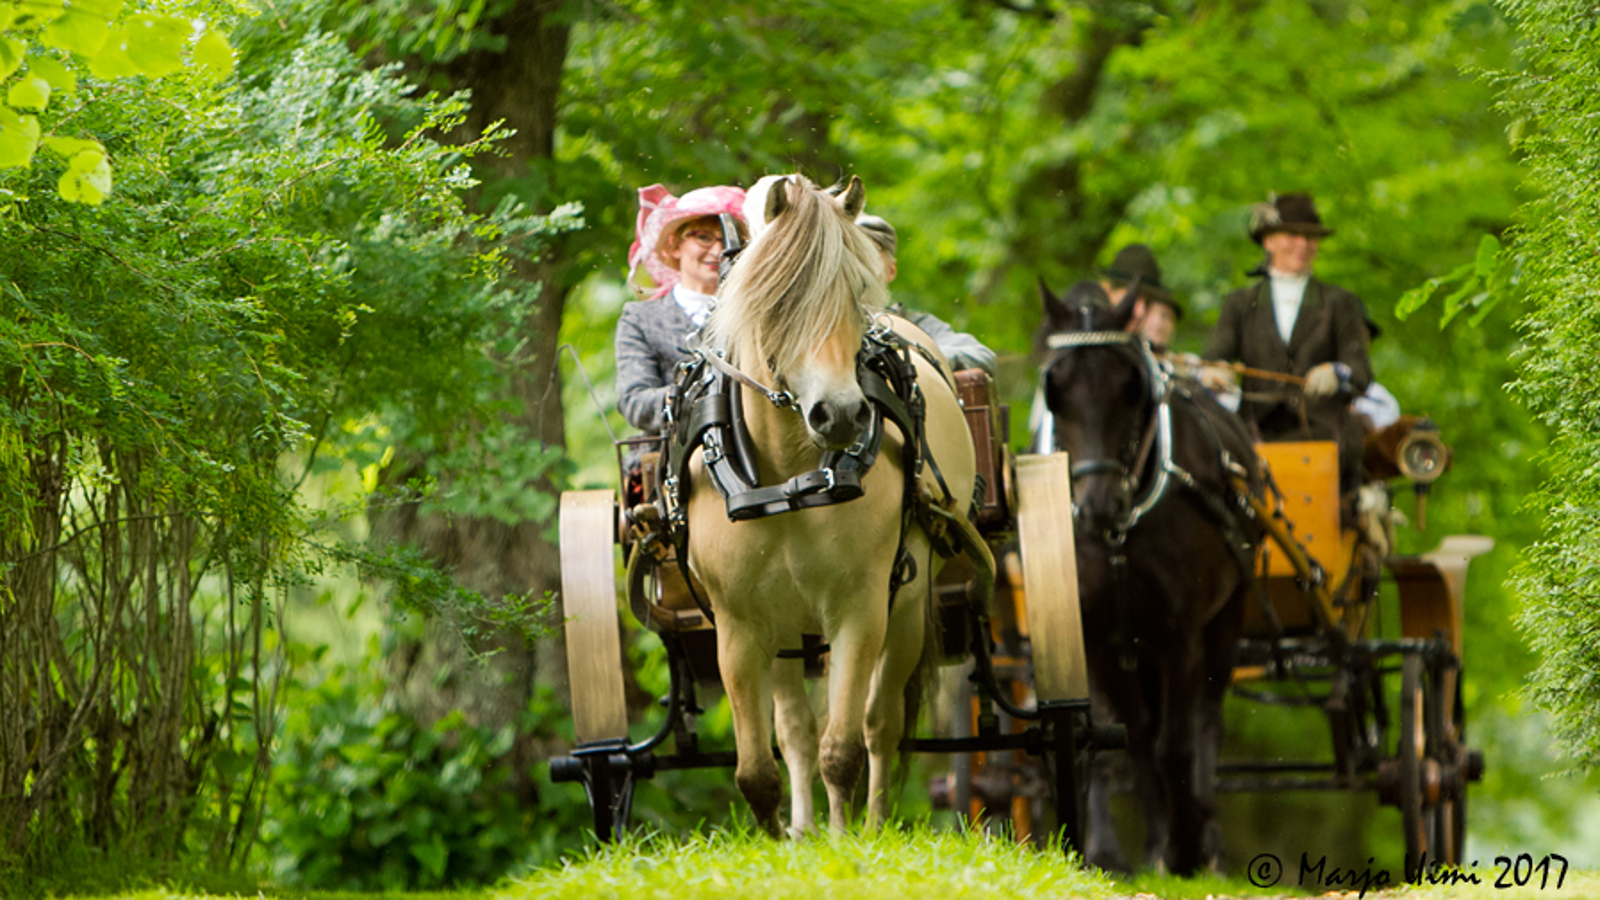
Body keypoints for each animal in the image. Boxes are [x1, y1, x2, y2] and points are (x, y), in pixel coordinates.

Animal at [688, 173, 972, 832]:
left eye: (857, 295)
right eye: (779, 301)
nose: (840, 414)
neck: (790, 480)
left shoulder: (859, 607)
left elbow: (842, 749)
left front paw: (846, 842)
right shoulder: (739, 624)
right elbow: (756, 770)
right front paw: (779, 840)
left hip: (905, 605)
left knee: (879, 722)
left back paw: (869, 823)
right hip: (785, 627)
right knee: (794, 727)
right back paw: (803, 828)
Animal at [1036, 278, 1260, 871]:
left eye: (1129, 387)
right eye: (1055, 388)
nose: (1097, 506)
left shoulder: (1180, 632)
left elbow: (1175, 743)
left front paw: (1187, 845)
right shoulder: (1096, 635)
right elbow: (1126, 736)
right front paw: (1138, 845)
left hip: (1227, 619)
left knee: (1205, 721)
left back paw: (1206, 834)